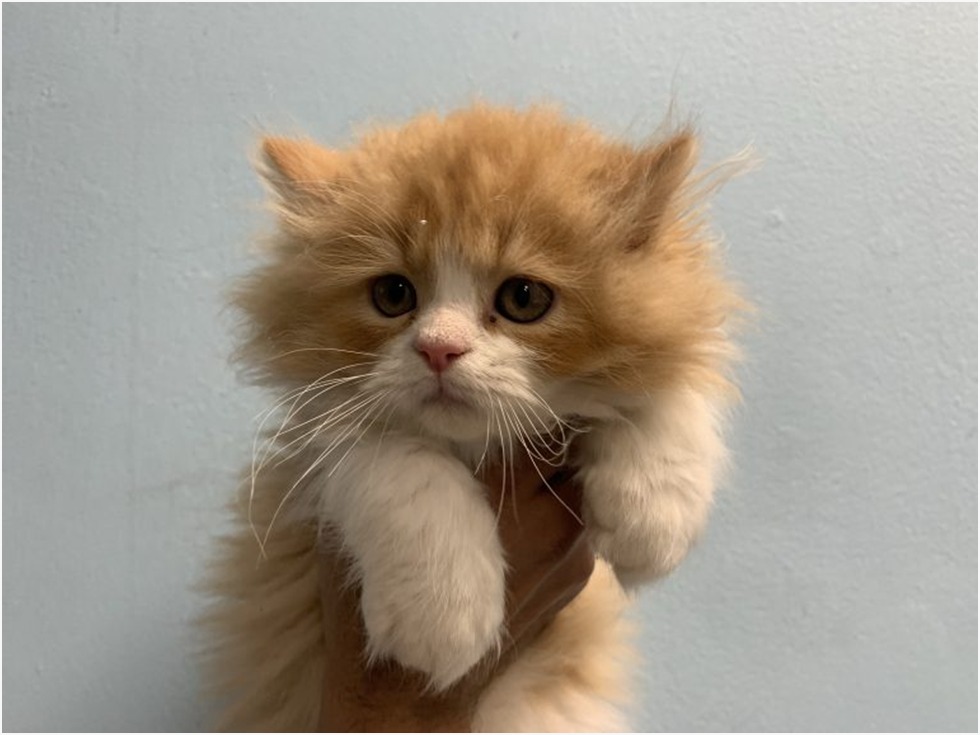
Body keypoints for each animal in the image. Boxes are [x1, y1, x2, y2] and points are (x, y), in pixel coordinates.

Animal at [201, 103, 744, 732]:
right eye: (393, 294)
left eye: (524, 298)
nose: (439, 348)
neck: (477, 448)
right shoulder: (315, 446)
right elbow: (402, 464)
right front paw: (441, 614)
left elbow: (662, 392)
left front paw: (651, 520)